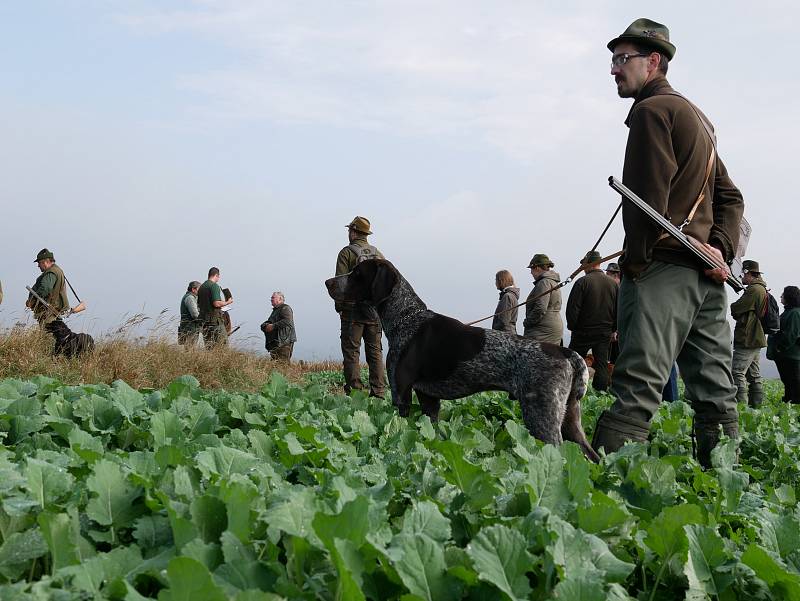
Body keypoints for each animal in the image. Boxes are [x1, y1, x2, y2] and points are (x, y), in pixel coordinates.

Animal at [326, 256, 600, 460]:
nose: (328, 281)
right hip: (569, 418)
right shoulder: (428, 399)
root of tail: (566, 352)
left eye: (357, 273)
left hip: (541, 416)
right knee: (592, 457)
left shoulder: (401, 393)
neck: (406, 317)